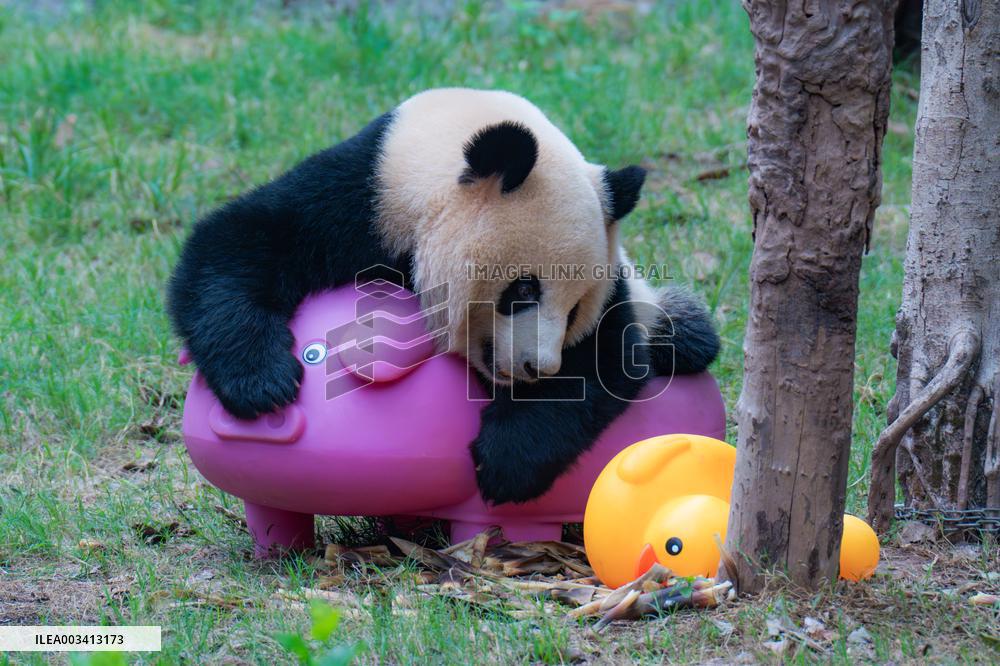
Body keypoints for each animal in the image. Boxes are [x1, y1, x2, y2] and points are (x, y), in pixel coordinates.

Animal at [168, 88, 719, 505]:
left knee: (685, 333)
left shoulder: (615, 289)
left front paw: (505, 460)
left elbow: (605, 357)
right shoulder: (362, 196)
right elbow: (240, 241)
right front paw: (263, 382)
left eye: (574, 309)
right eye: (524, 288)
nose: (538, 367)